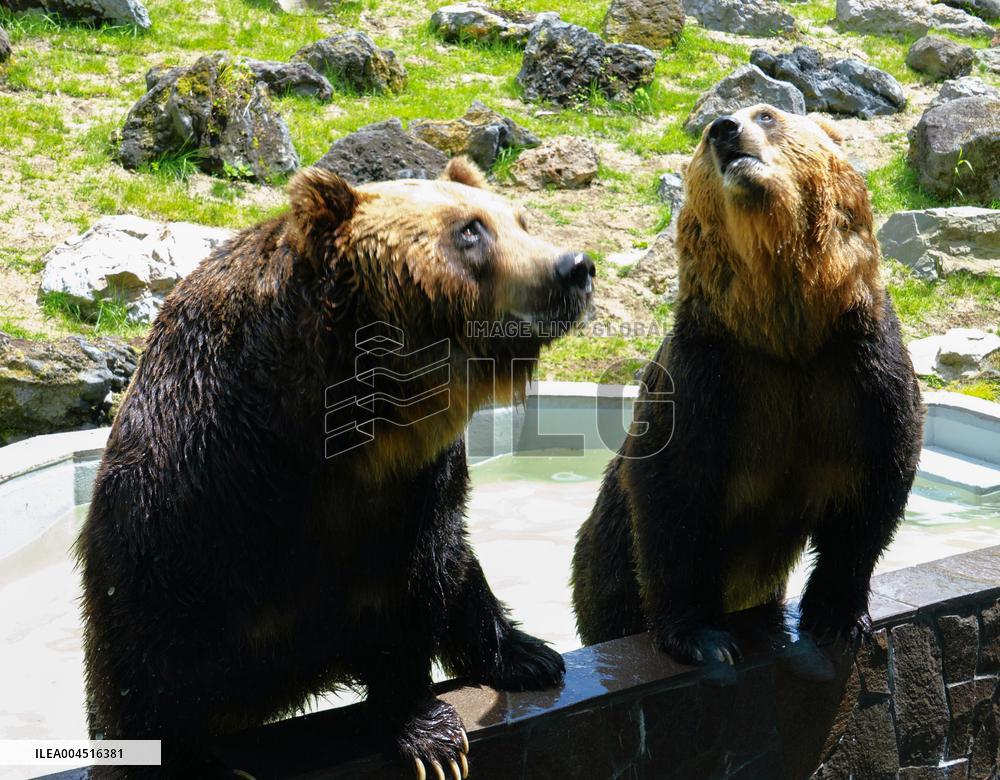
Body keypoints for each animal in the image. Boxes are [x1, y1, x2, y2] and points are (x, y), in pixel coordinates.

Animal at [77, 157, 595, 778]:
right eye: (471, 230)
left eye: (519, 220)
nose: (575, 267)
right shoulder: (194, 498)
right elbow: (151, 669)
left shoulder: (416, 487)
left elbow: (417, 585)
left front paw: (430, 735)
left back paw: (527, 654)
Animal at [571, 105, 922, 666]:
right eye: (702, 136)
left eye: (767, 113)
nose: (724, 129)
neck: (785, 331)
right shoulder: (711, 377)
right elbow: (673, 496)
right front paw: (702, 638)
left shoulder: (858, 368)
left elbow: (873, 489)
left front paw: (837, 617)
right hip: (604, 566)